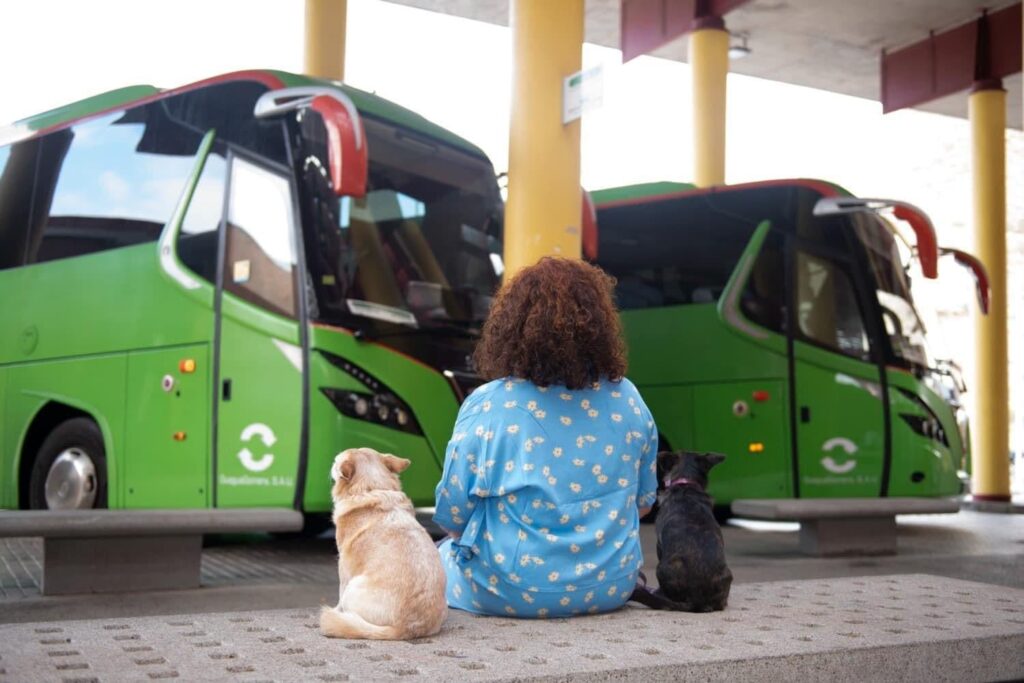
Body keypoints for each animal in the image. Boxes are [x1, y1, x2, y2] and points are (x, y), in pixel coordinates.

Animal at [317, 448, 446, 643]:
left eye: (336, 461)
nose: (332, 465)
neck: (373, 488)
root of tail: (404, 628)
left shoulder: (344, 568)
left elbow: (339, 593)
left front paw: (336, 610)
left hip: (353, 587)